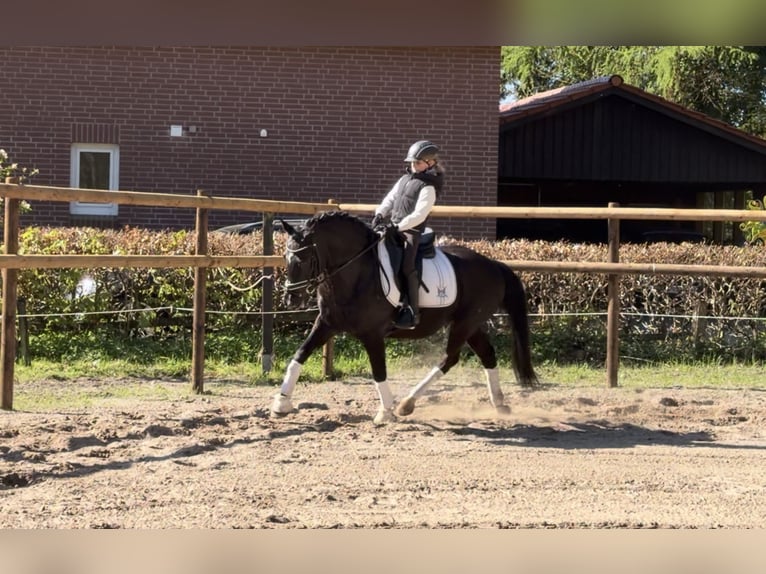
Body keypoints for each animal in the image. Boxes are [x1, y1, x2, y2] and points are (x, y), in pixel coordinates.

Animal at [271, 211, 538, 425]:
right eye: (285, 257)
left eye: (303, 258)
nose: (291, 299)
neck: (356, 273)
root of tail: (494, 265)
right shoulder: (326, 324)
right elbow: (299, 356)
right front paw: (281, 403)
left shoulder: (372, 334)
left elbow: (379, 371)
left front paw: (385, 412)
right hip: (471, 325)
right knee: (487, 355)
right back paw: (499, 404)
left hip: (465, 323)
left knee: (449, 358)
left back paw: (407, 403)